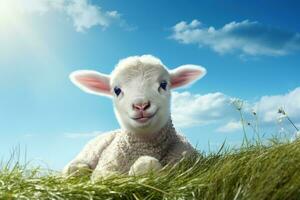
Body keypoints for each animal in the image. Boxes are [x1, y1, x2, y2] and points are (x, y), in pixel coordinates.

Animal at [63, 54, 206, 180]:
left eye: (163, 84)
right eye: (117, 90)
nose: (141, 105)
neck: (145, 146)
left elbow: (147, 165)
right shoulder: (104, 169)